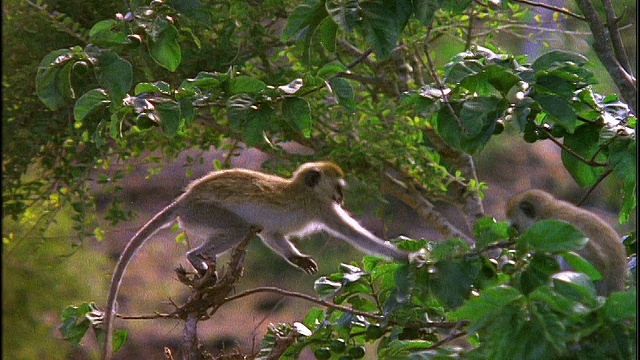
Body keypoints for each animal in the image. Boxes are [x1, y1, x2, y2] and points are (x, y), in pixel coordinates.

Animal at [102, 162, 408, 358]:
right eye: (338, 188)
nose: (341, 197)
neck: (303, 190)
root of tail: (185, 200)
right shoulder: (324, 209)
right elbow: (357, 236)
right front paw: (409, 256)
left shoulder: (287, 224)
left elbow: (272, 234)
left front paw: (297, 259)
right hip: (204, 213)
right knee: (236, 229)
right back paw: (197, 259)